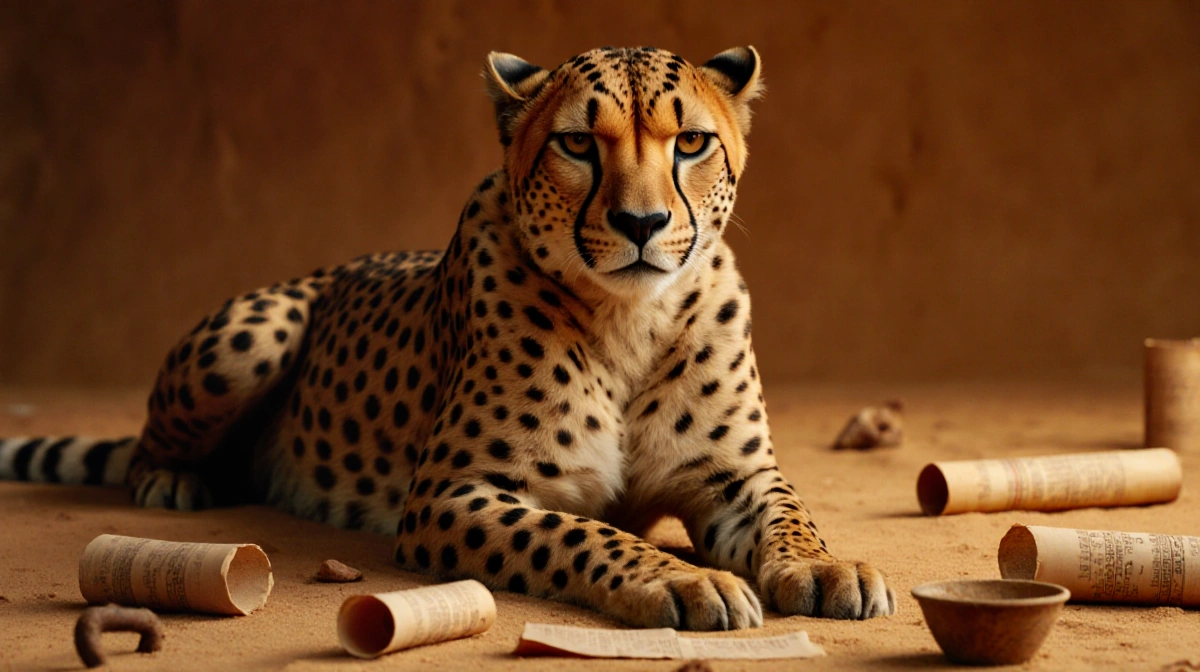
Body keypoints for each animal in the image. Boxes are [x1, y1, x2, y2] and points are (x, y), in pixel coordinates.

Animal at [0, 46, 895, 629]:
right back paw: (175, 479)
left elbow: (790, 512)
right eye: (578, 143)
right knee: (151, 447)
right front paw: (677, 580)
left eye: (692, 142)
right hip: (253, 337)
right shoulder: (453, 493)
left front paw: (824, 565)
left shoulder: (735, 476)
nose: (641, 224)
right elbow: (579, 532)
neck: (629, 321)